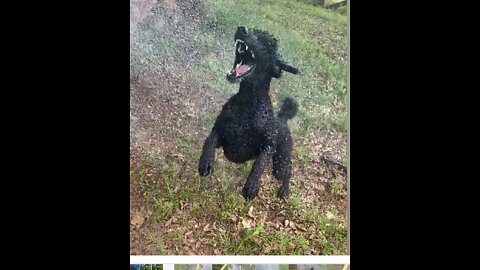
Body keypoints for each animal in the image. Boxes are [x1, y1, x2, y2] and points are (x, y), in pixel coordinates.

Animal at [197, 26, 298, 200]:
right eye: (253, 30)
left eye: (267, 43)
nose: (241, 29)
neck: (247, 101)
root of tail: (283, 119)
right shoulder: (220, 131)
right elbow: (209, 140)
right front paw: (205, 162)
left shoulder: (268, 145)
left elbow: (259, 163)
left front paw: (251, 185)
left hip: (280, 161)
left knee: (287, 173)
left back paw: (284, 191)